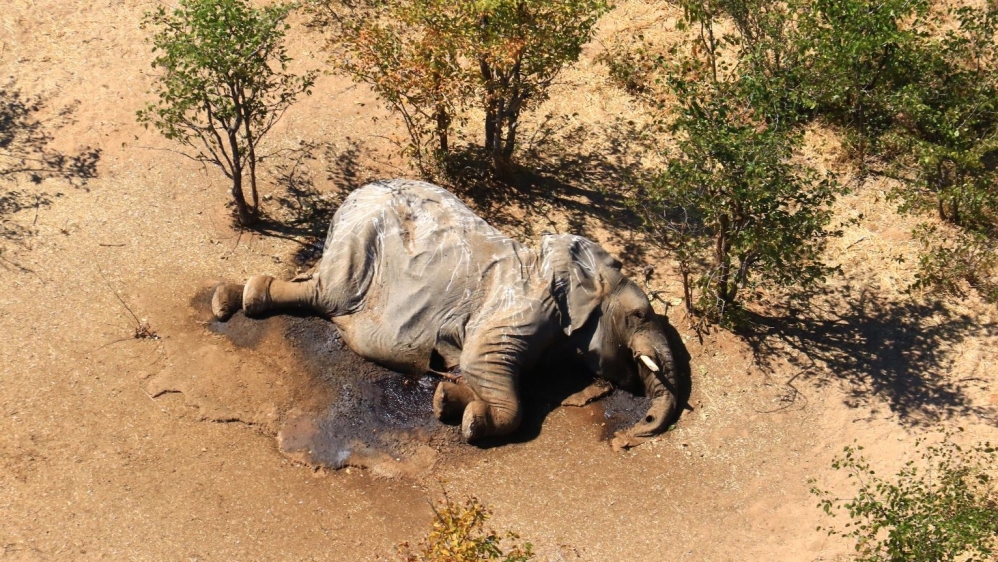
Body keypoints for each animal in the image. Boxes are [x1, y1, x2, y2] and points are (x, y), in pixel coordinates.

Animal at [211, 179, 681, 446]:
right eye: (640, 314)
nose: (630, 437)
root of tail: (352, 195)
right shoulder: (521, 308)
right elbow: (483, 364)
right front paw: (473, 422)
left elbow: (475, 370)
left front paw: (446, 401)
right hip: (359, 242)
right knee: (327, 295)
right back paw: (235, 300)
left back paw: (230, 298)